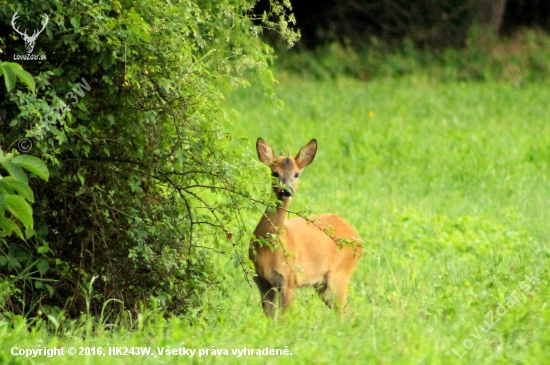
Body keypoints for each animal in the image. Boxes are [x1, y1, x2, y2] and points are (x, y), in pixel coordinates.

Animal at [250, 138, 362, 318]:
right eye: (274, 173)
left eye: (296, 174)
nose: (286, 191)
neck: (270, 249)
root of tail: (357, 237)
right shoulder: (262, 281)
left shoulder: (289, 279)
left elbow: (283, 319)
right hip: (322, 285)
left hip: (340, 274)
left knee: (346, 312)